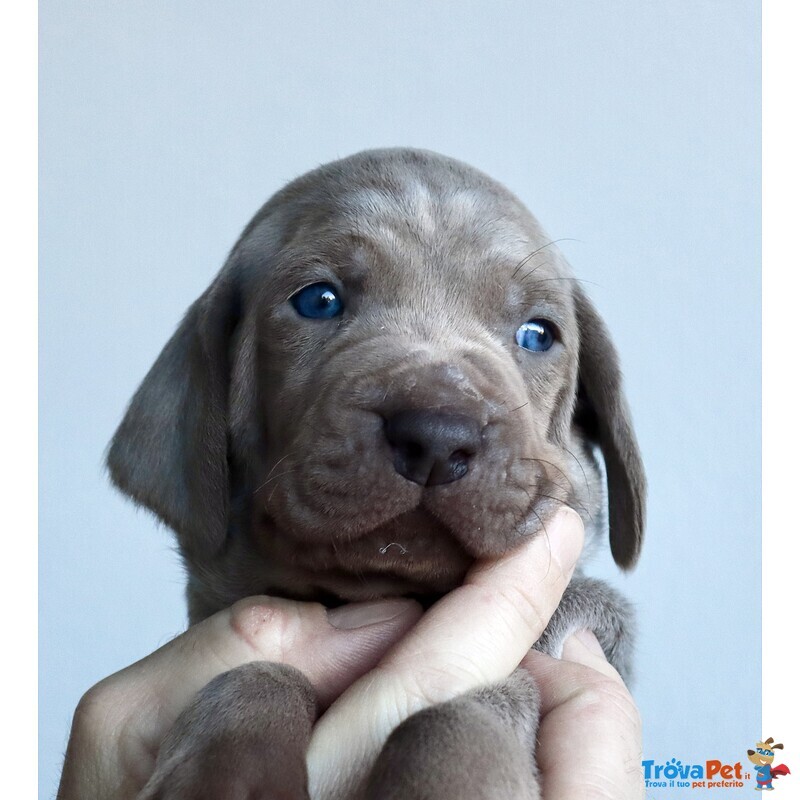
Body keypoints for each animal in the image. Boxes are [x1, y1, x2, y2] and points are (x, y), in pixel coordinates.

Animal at [108, 147, 644, 796]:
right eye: (318, 300)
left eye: (539, 334)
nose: (437, 435)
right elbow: (257, 673)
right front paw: (226, 771)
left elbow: (457, 712)